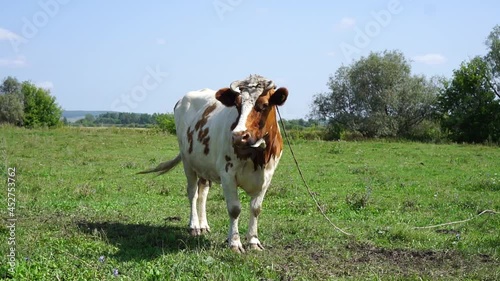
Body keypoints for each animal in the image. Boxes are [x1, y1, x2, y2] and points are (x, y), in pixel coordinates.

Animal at [141, 74, 290, 252]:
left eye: (264, 105)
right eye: (237, 105)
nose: (238, 136)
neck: (257, 157)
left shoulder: (267, 177)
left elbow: (256, 209)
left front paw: (253, 241)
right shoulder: (227, 175)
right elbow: (234, 209)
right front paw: (234, 243)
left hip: (204, 165)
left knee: (203, 192)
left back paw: (203, 225)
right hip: (187, 162)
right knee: (193, 192)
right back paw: (194, 226)